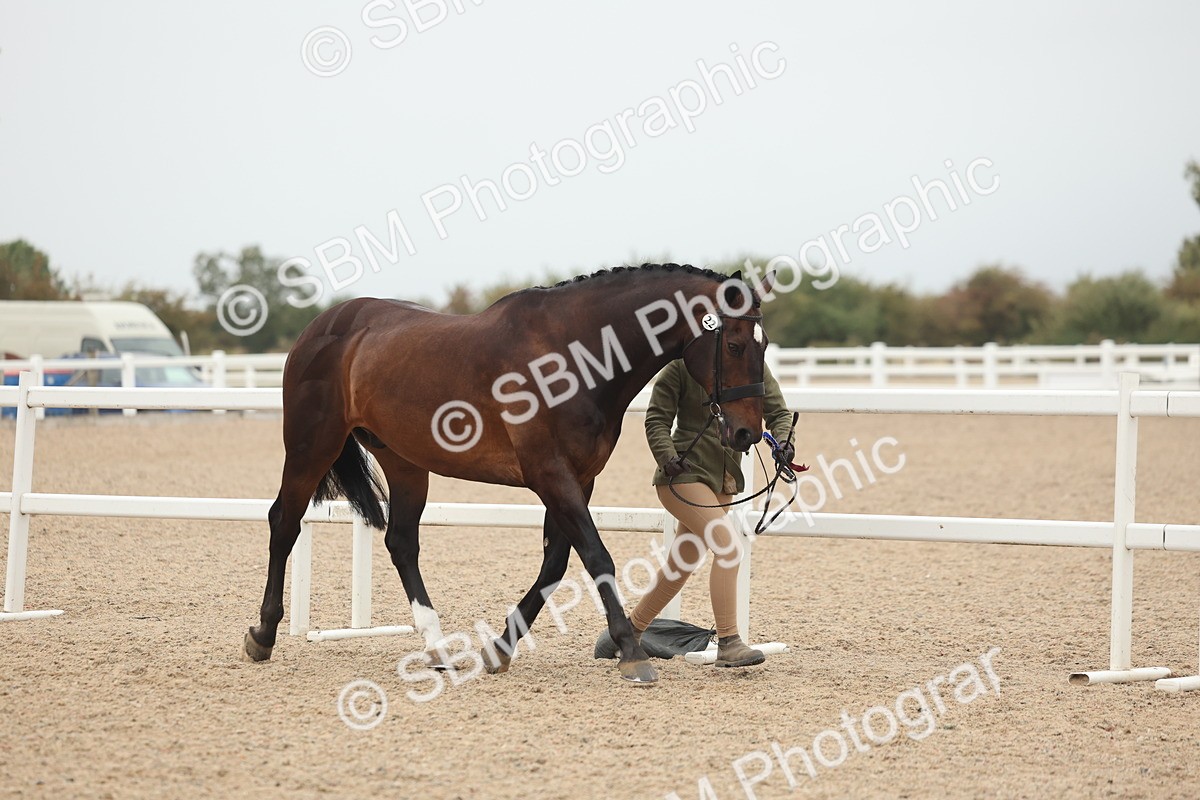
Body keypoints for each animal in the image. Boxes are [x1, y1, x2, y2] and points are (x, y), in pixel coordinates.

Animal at [243, 263, 776, 685]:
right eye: (733, 344)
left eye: (765, 343)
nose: (748, 431)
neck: (574, 354)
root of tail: (324, 325)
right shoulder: (551, 475)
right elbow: (596, 557)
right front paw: (630, 653)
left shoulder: (578, 479)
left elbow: (555, 566)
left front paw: (499, 650)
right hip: (312, 445)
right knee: (284, 523)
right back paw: (263, 635)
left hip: (405, 461)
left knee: (401, 542)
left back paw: (437, 649)